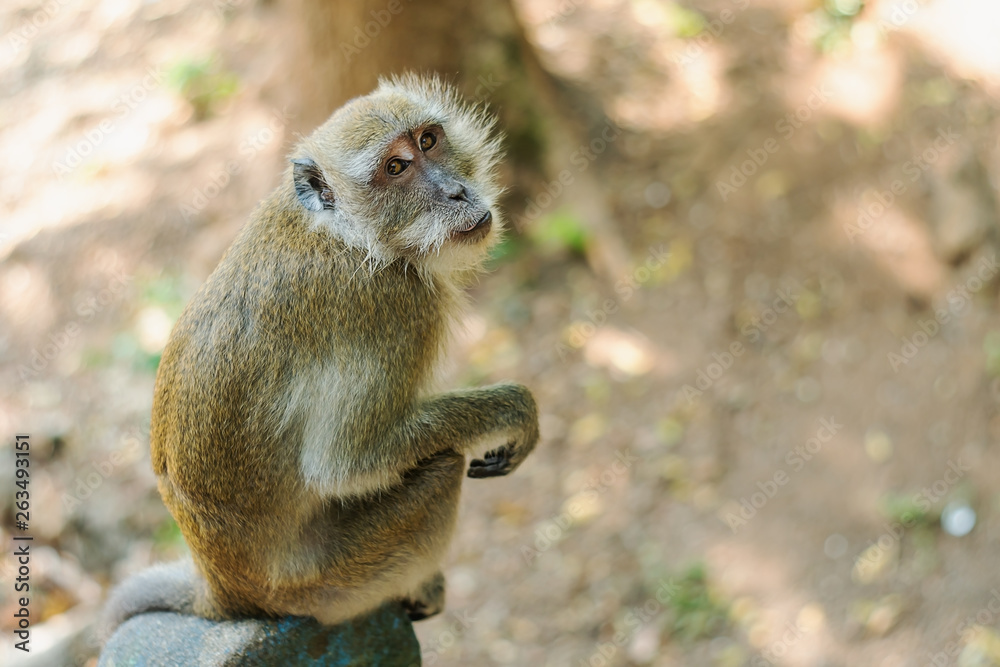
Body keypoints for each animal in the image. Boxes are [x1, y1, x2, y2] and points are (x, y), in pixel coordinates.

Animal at [100, 74, 539, 639]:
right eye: (395, 169)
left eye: (428, 141)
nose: (457, 191)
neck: (350, 236)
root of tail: (223, 592)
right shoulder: (394, 309)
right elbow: (346, 463)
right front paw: (513, 408)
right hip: (331, 583)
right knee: (442, 467)